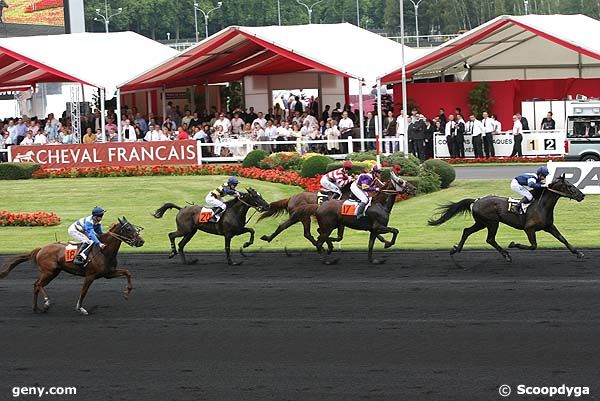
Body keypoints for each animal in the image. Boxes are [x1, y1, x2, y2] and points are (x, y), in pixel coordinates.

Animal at [0, 217, 145, 314]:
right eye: (128, 228)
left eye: (133, 227)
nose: (141, 241)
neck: (104, 250)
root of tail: (41, 249)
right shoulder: (90, 276)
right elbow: (83, 291)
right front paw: (80, 308)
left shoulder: (108, 273)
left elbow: (127, 272)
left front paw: (127, 293)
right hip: (49, 271)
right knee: (37, 284)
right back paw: (46, 302)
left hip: (53, 272)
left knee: (37, 285)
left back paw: (36, 308)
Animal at [426, 174, 584, 260]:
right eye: (569, 186)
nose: (582, 195)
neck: (541, 205)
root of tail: (476, 200)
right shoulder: (529, 229)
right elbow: (533, 246)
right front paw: (514, 244)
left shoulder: (549, 226)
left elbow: (563, 239)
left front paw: (578, 253)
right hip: (492, 222)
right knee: (489, 239)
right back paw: (506, 254)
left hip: (482, 223)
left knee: (467, 231)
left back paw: (456, 249)